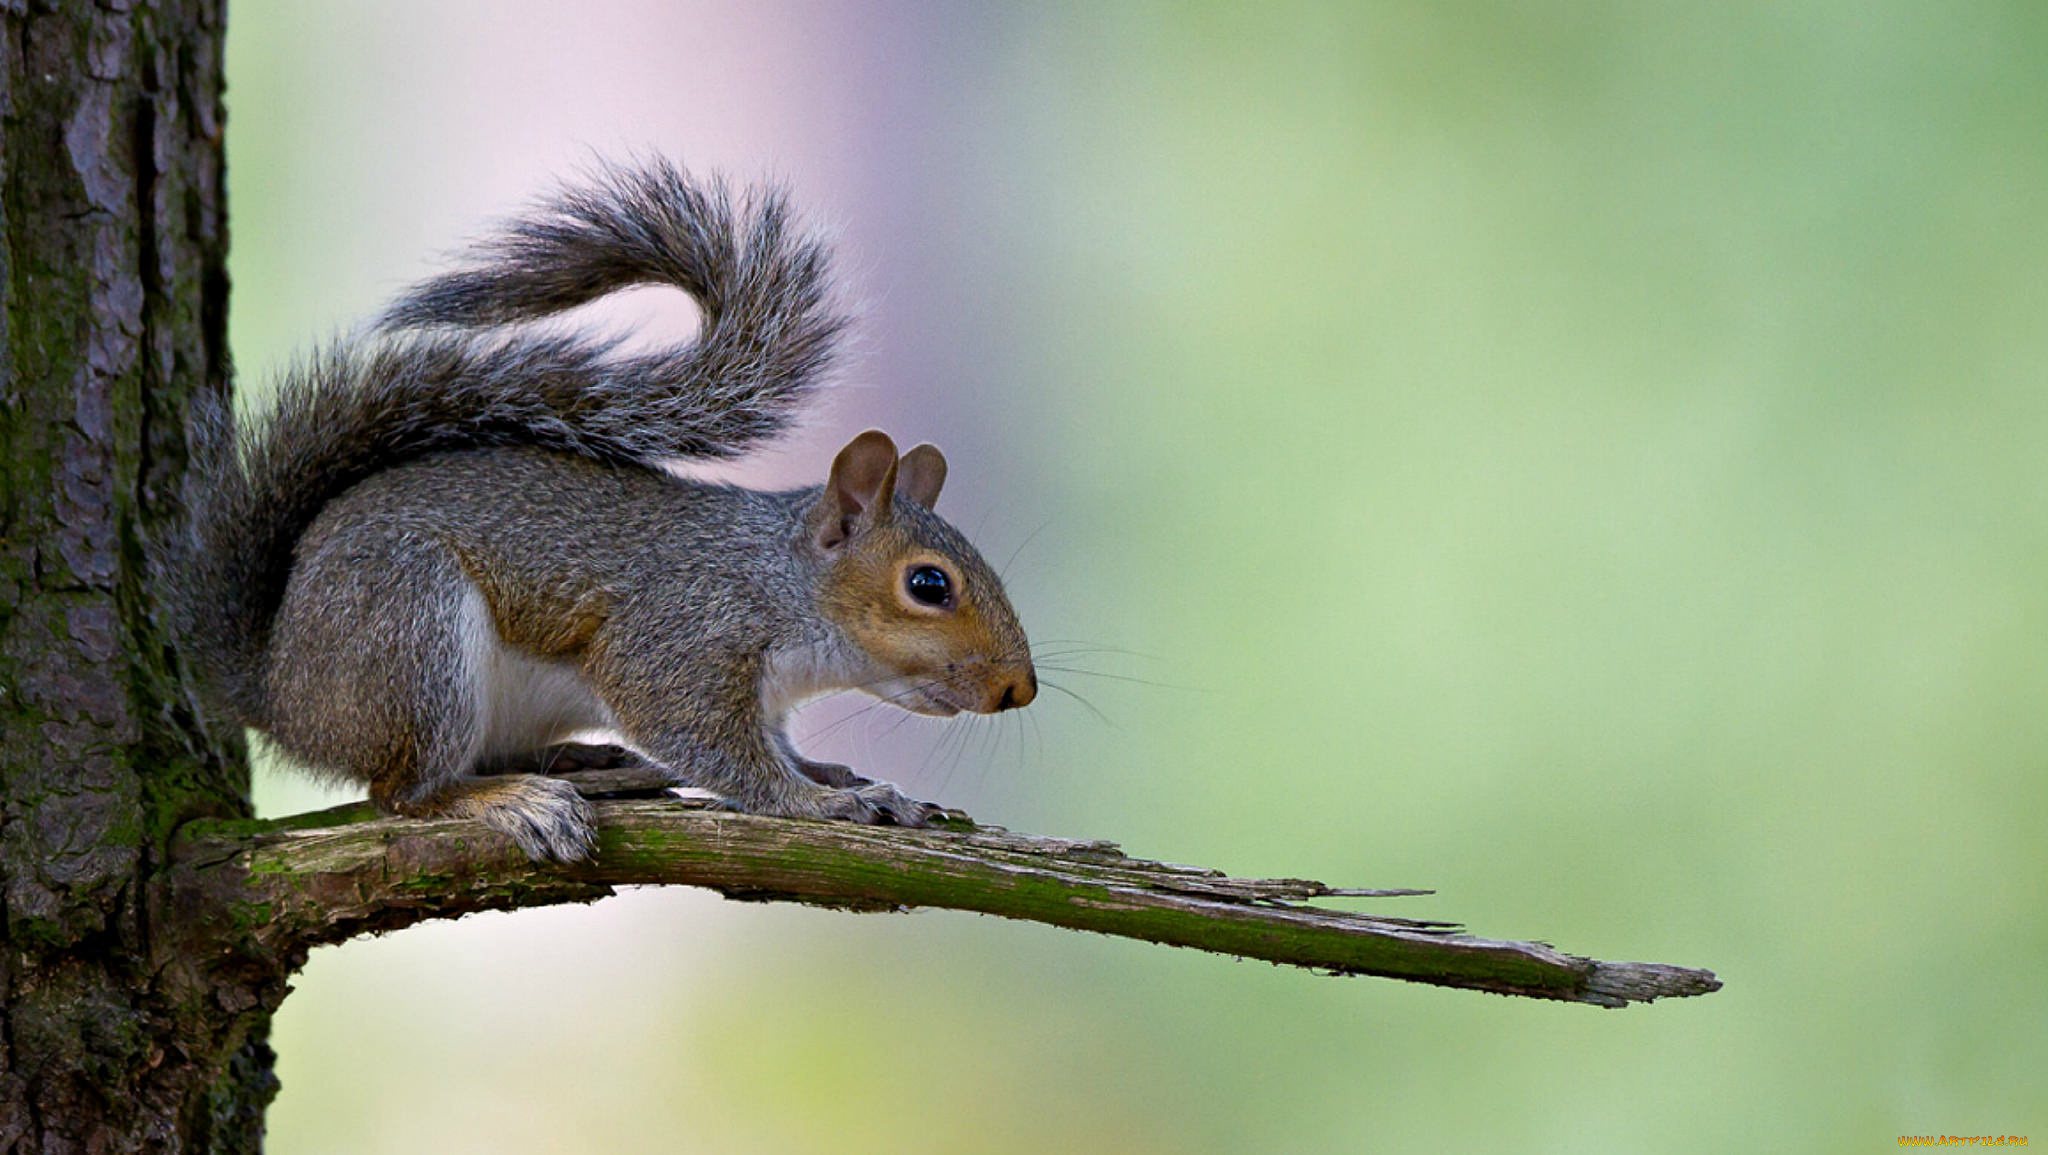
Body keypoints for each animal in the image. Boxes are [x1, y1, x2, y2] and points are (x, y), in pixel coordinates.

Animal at [172, 159, 1040, 856]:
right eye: (928, 585)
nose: (1018, 690)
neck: (778, 582)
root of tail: (278, 689)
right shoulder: (682, 637)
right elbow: (715, 745)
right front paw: (821, 801)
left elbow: (777, 745)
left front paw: (834, 773)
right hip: (411, 634)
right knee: (405, 793)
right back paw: (515, 799)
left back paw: (590, 764)